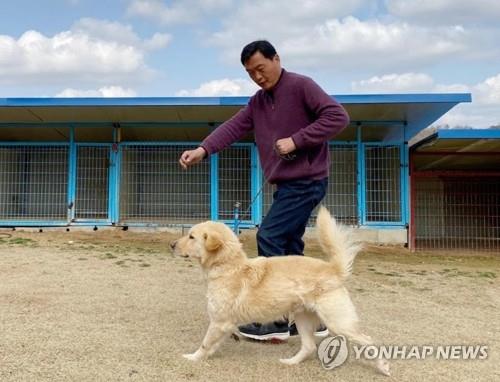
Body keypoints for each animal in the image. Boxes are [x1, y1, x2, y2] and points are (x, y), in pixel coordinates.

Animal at [172, 207, 390, 374]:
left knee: (369, 341)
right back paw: (290, 362)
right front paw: (205, 356)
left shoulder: (219, 322)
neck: (229, 266)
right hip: (303, 318)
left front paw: (193, 357)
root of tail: (333, 269)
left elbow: (205, 343)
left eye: (191, 236)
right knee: (309, 346)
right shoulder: (224, 324)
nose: (172, 244)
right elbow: (213, 344)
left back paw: (383, 367)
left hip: (338, 322)